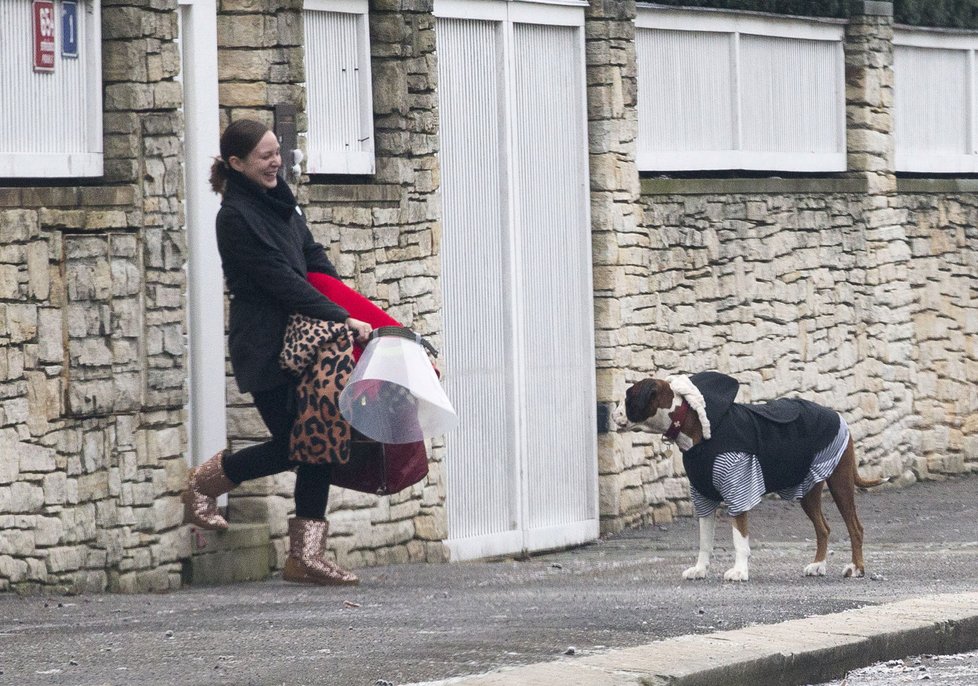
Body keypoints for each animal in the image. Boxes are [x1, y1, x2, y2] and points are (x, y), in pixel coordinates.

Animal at [612, 374, 880, 584]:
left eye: (628, 396)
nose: (614, 412)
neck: (693, 422)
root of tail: (839, 417)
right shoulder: (703, 496)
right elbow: (704, 540)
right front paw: (700, 569)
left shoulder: (737, 489)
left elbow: (739, 538)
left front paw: (739, 571)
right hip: (809, 490)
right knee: (823, 528)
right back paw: (818, 565)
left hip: (840, 482)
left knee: (855, 527)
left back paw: (856, 568)